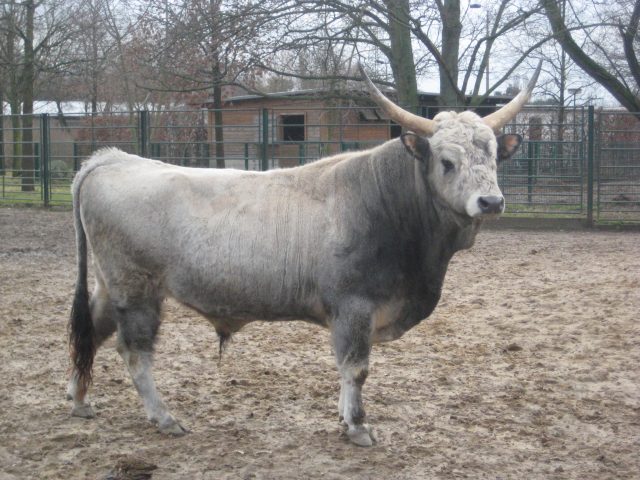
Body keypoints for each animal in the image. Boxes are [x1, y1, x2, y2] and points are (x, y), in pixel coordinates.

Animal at [69, 62, 540, 446]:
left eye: (494, 157)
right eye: (446, 161)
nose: (490, 202)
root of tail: (113, 159)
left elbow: (346, 370)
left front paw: (344, 416)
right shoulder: (354, 307)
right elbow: (356, 368)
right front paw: (358, 426)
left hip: (111, 286)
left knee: (92, 330)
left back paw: (78, 399)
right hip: (137, 289)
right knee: (135, 352)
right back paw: (164, 418)